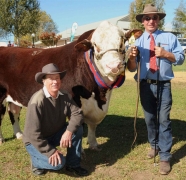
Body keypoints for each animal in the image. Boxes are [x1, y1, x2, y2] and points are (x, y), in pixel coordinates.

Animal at [0, 21, 137, 150]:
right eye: (95, 45)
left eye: (122, 41)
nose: (114, 66)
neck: (100, 95)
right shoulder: (73, 103)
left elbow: (92, 126)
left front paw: (93, 144)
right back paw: (1, 139)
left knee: (13, 111)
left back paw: (19, 134)